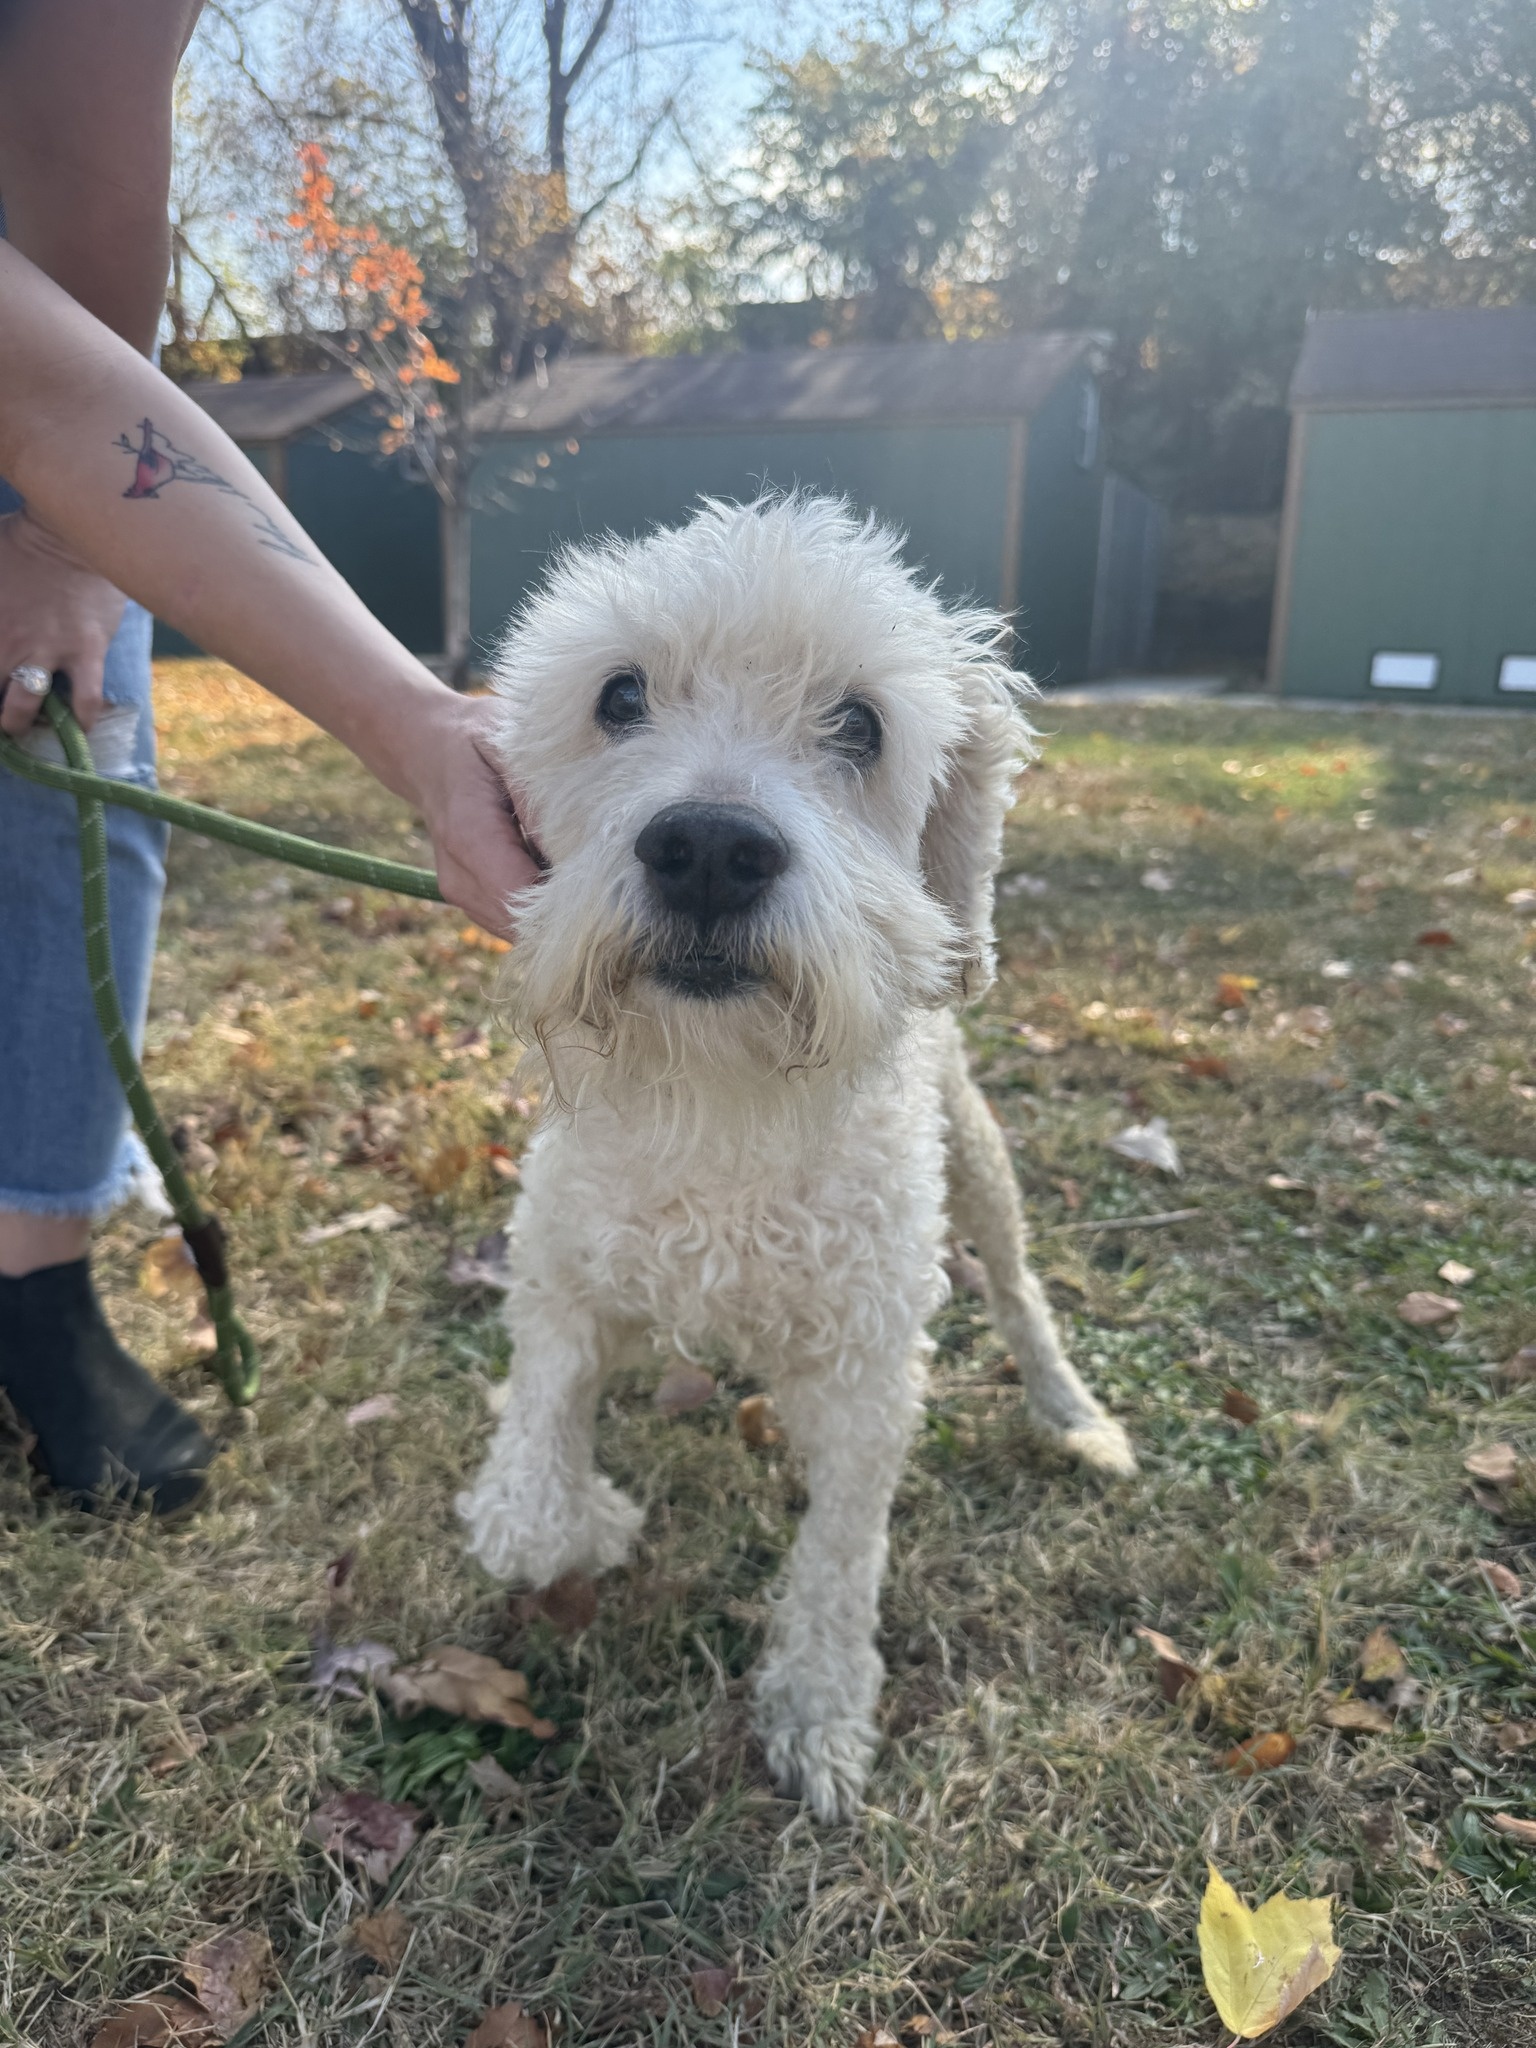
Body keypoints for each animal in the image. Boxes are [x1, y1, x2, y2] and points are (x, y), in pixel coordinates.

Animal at [456, 495, 1130, 1826]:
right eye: (619, 695)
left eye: (860, 722)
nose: (711, 846)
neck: (729, 1109)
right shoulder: (562, 1271)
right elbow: (529, 1485)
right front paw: (580, 1513)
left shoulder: (870, 1372)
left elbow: (840, 1552)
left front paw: (819, 1703)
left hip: (984, 1168)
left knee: (1023, 1293)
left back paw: (1071, 1410)